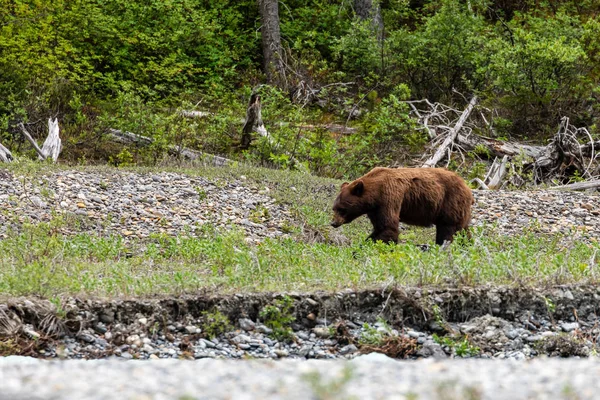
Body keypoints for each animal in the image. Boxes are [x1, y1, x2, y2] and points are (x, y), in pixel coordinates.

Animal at [332, 166, 474, 247]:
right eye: (334, 208)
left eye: (342, 209)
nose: (333, 223)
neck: (375, 193)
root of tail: (466, 186)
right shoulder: (374, 208)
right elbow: (379, 226)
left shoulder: (389, 197)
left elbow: (388, 226)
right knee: (462, 229)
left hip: (450, 201)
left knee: (449, 228)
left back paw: (443, 245)